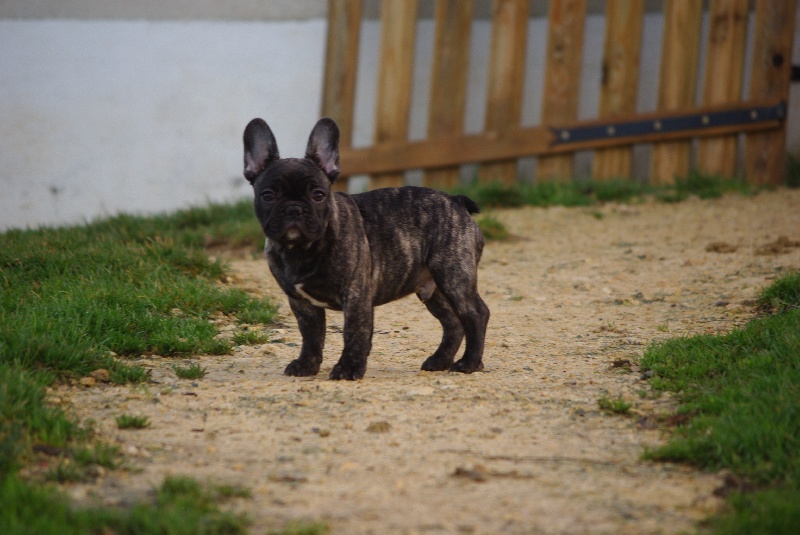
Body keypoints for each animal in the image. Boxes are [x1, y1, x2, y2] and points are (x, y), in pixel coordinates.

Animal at [244, 116, 490, 382]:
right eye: (268, 195)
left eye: (318, 195)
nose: (293, 209)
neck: (301, 249)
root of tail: (455, 201)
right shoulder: (302, 304)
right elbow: (310, 337)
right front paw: (306, 365)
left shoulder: (356, 295)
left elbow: (354, 333)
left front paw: (348, 368)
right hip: (433, 290)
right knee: (453, 322)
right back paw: (440, 360)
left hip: (454, 276)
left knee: (475, 314)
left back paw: (468, 363)